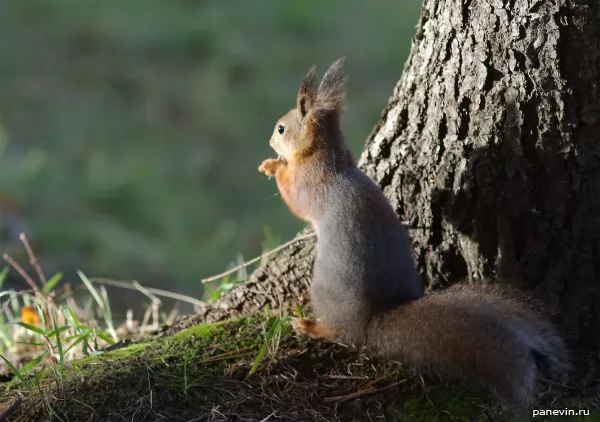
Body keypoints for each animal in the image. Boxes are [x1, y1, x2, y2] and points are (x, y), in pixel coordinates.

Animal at [256, 57, 568, 410]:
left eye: (281, 128)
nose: (271, 141)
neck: (332, 161)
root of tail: (371, 322)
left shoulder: (310, 183)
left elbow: (295, 200)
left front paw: (273, 165)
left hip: (324, 291)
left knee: (339, 334)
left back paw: (309, 325)